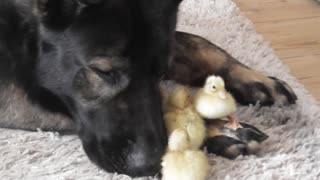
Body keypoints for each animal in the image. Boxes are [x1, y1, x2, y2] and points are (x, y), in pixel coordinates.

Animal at [0, 0, 298, 177]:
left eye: (162, 71)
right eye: (103, 72)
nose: (147, 165)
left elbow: (195, 41)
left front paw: (255, 79)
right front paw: (214, 129)